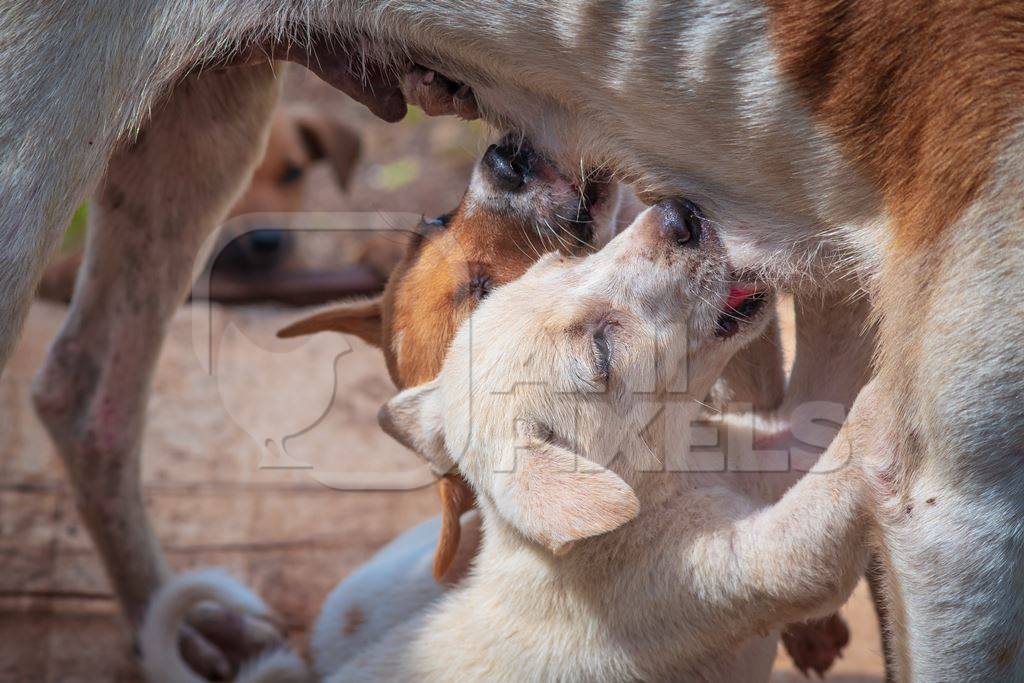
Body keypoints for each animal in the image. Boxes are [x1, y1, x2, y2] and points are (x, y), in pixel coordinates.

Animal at [2, 2, 1024, 679]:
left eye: (431, 216)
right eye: (599, 347)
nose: (685, 217)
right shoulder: (952, 523)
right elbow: (824, 511)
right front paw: (877, 428)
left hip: (197, 115)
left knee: (83, 389)